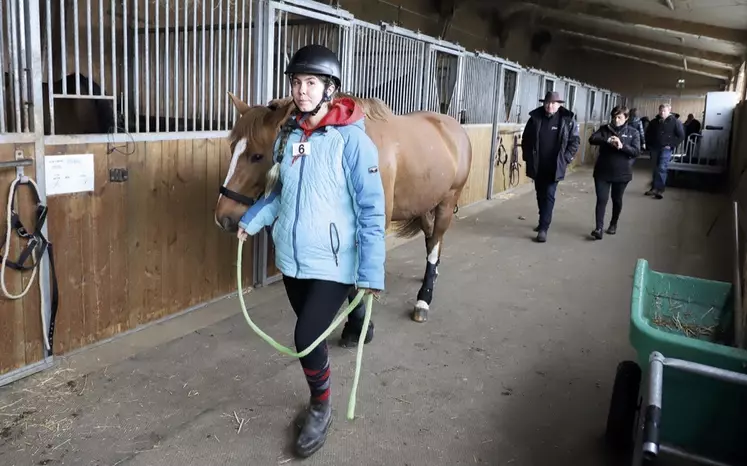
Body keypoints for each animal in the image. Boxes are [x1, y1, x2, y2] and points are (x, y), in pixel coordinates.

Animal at [215, 92, 474, 322]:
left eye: (257, 156)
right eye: (233, 148)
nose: (222, 217)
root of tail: (455, 127)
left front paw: (358, 324)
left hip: (447, 202)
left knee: (435, 243)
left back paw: (423, 300)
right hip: (423, 204)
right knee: (432, 241)